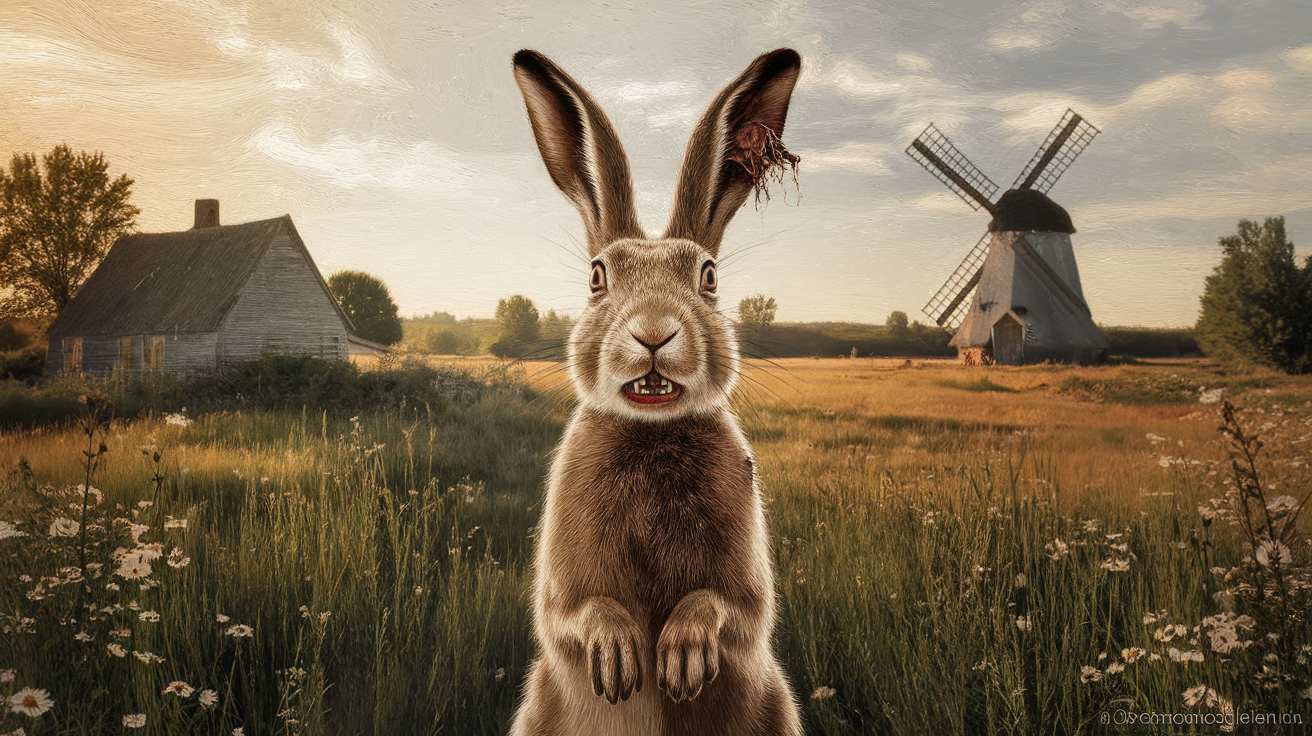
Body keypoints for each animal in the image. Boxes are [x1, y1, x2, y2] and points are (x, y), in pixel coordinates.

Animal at [508, 48, 804, 736]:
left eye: (709, 277)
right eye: (597, 278)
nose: (652, 332)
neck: (652, 428)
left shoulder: (746, 584)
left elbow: (731, 605)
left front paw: (681, 654)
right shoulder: (563, 583)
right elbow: (571, 612)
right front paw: (621, 656)